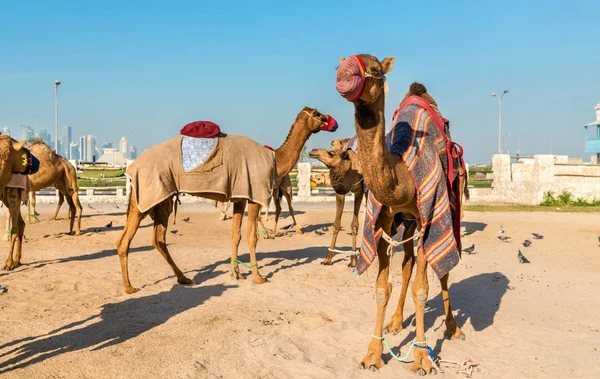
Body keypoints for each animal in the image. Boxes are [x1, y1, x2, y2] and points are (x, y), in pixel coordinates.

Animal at [0, 135, 40, 272]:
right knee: (20, 222)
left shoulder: (14, 197)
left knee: (19, 224)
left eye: (8, 156)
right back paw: (17, 259)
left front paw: (8, 263)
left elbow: (14, 228)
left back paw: (15, 260)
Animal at [115, 107, 336, 294]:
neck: (274, 159)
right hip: (146, 195)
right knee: (125, 239)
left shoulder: (240, 197)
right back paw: (129, 287)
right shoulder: (254, 195)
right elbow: (251, 237)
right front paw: (258, 277)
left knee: (158, 238)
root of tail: (132, 167)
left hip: (162, 199)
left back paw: (184, 278)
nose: (333, 122)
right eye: (318, 114)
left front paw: (236, 272)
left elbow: (235, 235)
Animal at [338, 55, 468, 376]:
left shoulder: (428, 216)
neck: (402, 176)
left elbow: (422, 289)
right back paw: (395, 322)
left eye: (374, 70)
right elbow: (381, 288)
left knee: (443, 270)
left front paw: (422, 357)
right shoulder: (383, 222)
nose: (344, 72)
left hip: (449, 208)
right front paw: (373, 353)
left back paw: (453, 328)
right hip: (404, 223)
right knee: (407, 264)